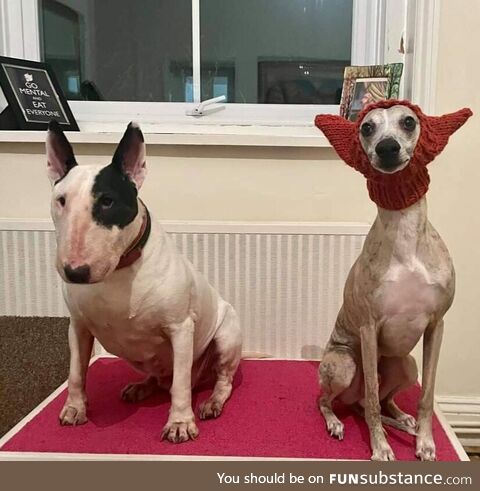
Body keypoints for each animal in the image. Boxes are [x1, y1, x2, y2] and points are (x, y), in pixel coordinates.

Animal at [47, 121, 242, 444]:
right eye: (60, 201)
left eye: (108, 201)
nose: (75, 272)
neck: (118, 272)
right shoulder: (78, 326)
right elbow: (76, 372)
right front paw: (75, 408)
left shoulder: (180, 327)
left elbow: (180, 385)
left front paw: (179, 423)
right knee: (160, 377)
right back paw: (142, 387)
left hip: (226, 336)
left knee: (218, 380)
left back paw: (212, 401)